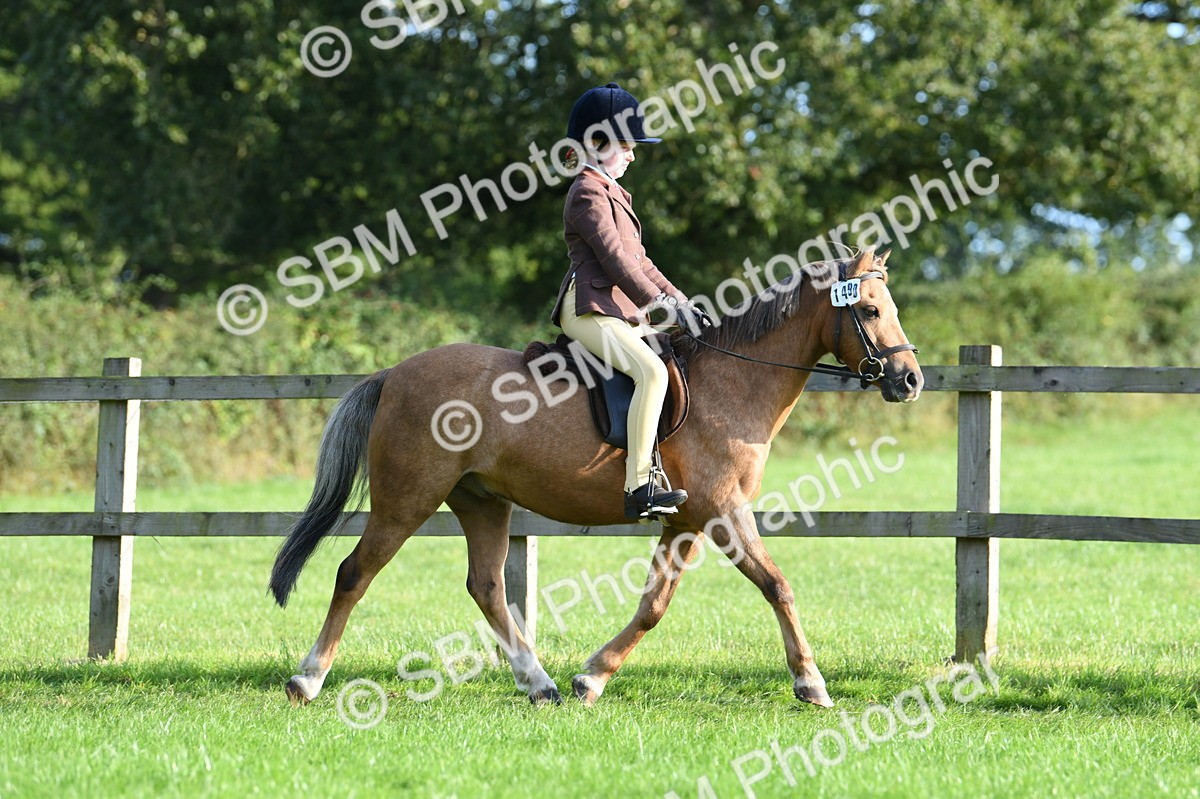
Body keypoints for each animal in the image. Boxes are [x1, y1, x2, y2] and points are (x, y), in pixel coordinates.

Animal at [269, 246, 923, 708]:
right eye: (869, 311)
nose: (910, 380)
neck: (733, 382)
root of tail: (394, 374)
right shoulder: (724, 511)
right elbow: (777, 586)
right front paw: (811, 683)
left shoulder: (685, 521)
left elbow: (653, 606)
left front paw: (592, 678)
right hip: (407, 500)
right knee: (354, 573)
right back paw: (308, 679)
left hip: (481, 501)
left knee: (487, 587)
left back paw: (541, 684)